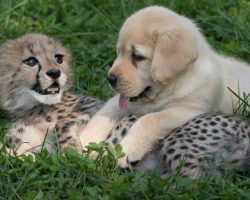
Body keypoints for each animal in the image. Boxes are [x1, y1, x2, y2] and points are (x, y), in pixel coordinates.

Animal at [79, 5, 250, 166]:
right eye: (118, 52)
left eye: (137, 56)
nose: (110, 79)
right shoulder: (123, 101)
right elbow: (104, 114)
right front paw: (84, 141)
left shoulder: (188, 110)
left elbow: (150, 119)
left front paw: (128, 149)